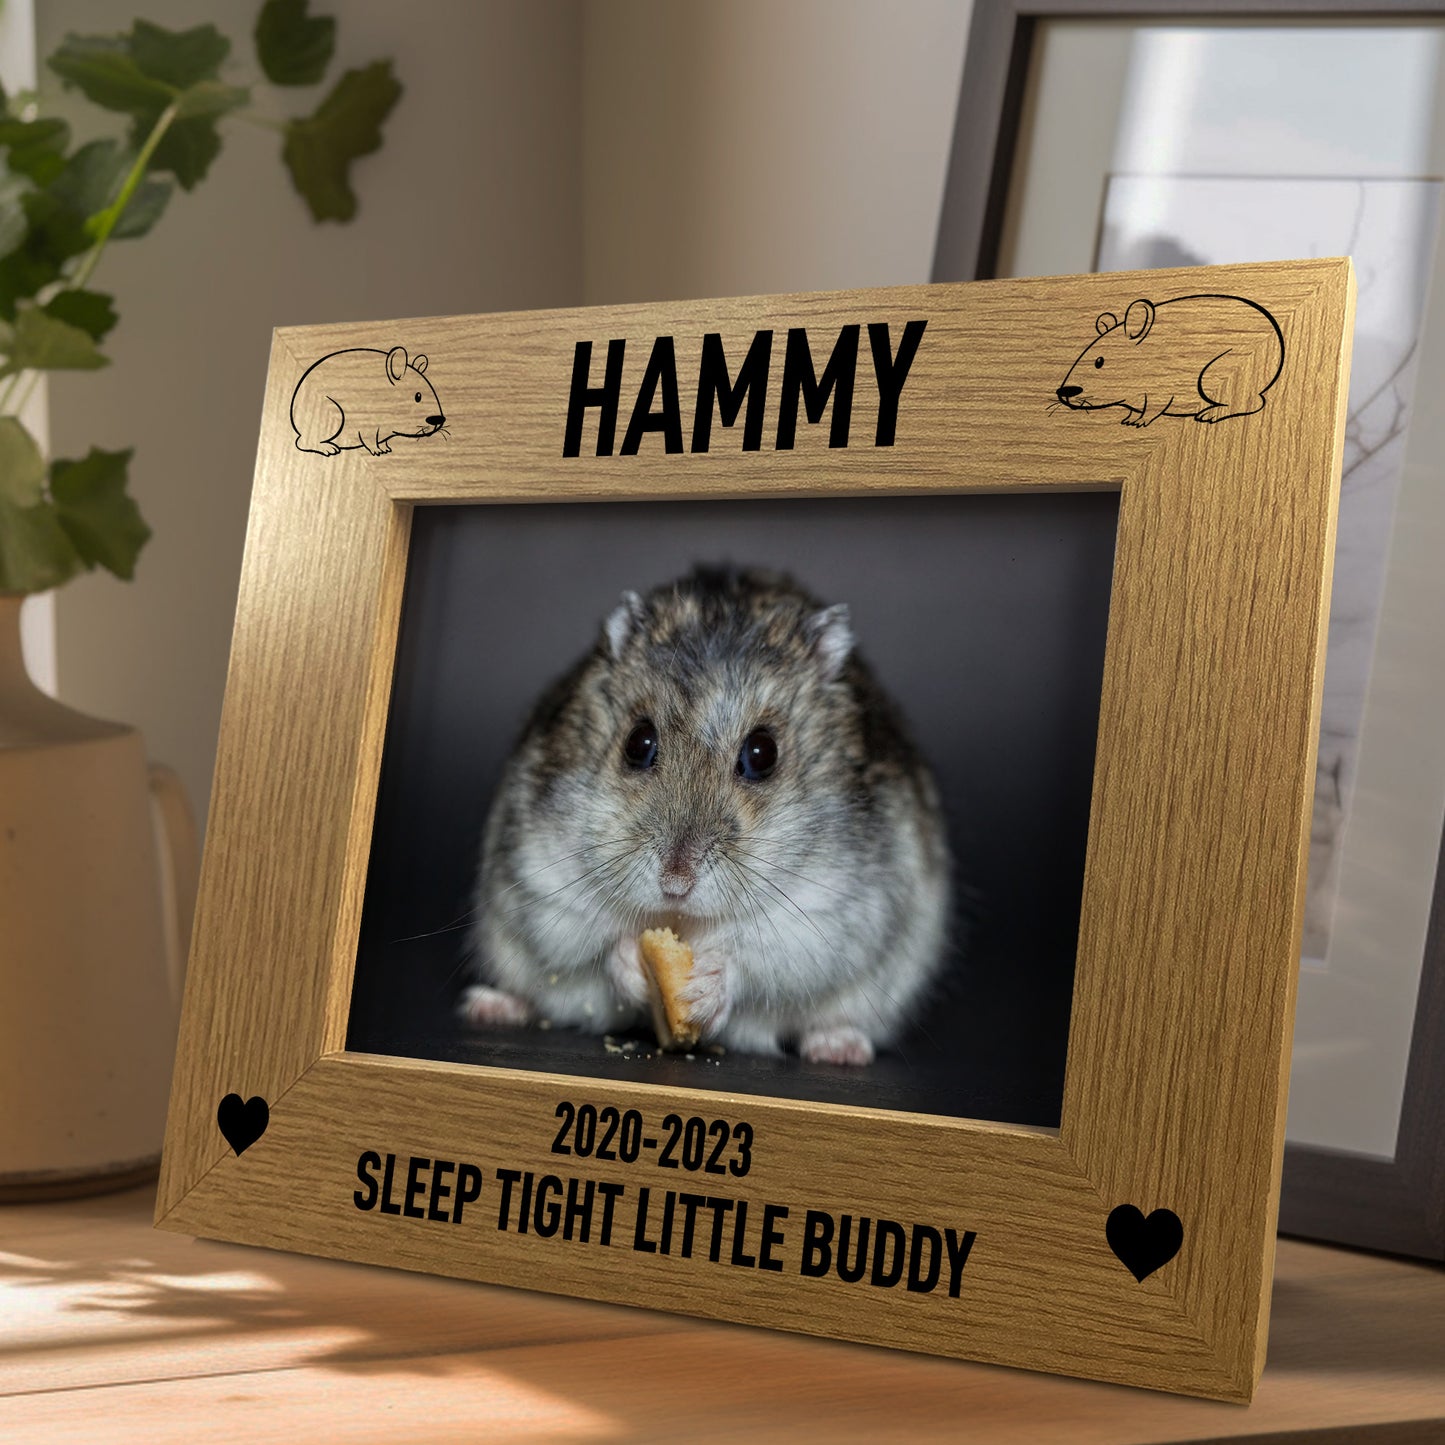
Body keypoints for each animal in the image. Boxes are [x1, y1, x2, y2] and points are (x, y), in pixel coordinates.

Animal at [290, 346, 445, 455]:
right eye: (418, 396)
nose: (439, 420)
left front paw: (385, 449)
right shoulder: (367, 427)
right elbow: (370, 440)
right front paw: (377, 451)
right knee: (302, 442)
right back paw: (329, 449)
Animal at [458, 565, 952, 1066]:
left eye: (762, 753)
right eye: (638, 742)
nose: (675, 884)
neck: (683, 921)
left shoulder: (829, 914)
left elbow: (755, 958)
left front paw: (701, 990)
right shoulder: (543, 880)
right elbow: (596, 943)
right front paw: (633, 962)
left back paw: (839, 1048)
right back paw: (489, 1005)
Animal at [1055, 295, 1284, 427]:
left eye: (1099, 361)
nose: (1063, 392)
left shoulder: (1161, 392)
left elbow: (1153, 408)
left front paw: (1139, 422)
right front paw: (1128, 419)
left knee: (1250, 402)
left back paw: (1210, 414)